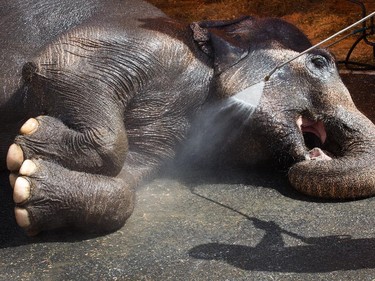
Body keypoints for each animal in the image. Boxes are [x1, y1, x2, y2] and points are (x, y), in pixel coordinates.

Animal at [0, 0, 375, 234]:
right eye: (320, 62)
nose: (314, 156)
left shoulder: (166, 140)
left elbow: (128, 181)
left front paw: (26, 182)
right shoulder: (130, 44)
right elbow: (60, 68)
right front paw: (29, 136)